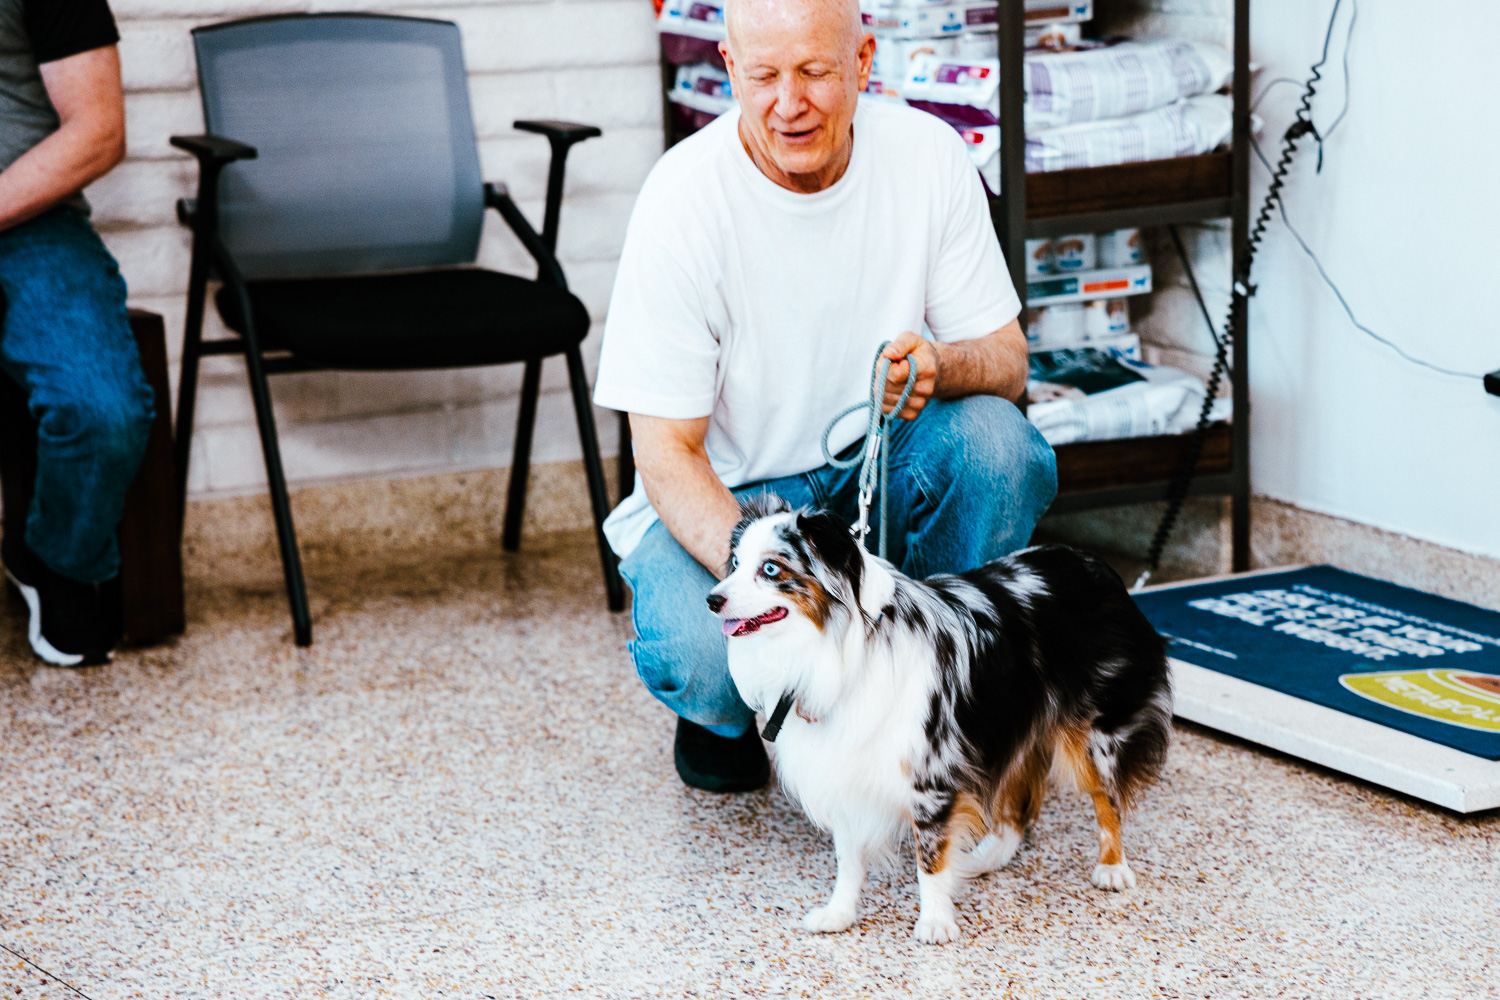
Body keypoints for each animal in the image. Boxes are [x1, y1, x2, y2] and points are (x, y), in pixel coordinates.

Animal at [708, 500, 1176, 947]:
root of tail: (1095, 565)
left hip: (1098, 733)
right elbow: (849, 857)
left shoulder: (931, 776)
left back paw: (1112, 867)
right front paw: (840, 913)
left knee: (1106, 797)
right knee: (1017, 801)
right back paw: (986, 857)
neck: (838, 648)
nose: (712, 600)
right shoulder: (847, 770)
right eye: (735, 562)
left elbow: (929, 859)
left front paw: (935, 921)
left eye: (771, 569)